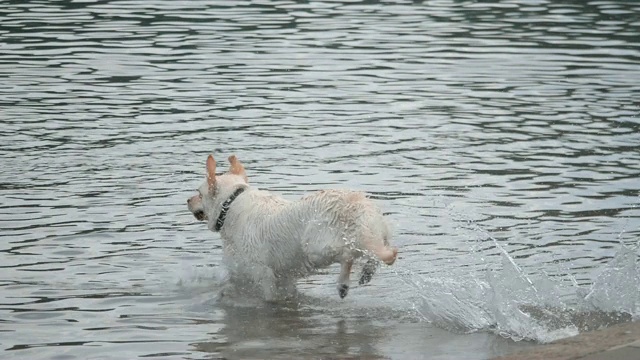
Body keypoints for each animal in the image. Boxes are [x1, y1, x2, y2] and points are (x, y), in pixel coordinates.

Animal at [185, 155, 398, 300]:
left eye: (199, 193)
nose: (187, 200)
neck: (230, 204)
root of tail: (356, 204)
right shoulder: (283, 277)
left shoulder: (259, 273)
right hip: (374, 232)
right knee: (382, 253)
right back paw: (362, 275)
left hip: (316, 246)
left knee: (353, 254)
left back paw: (345, 282)